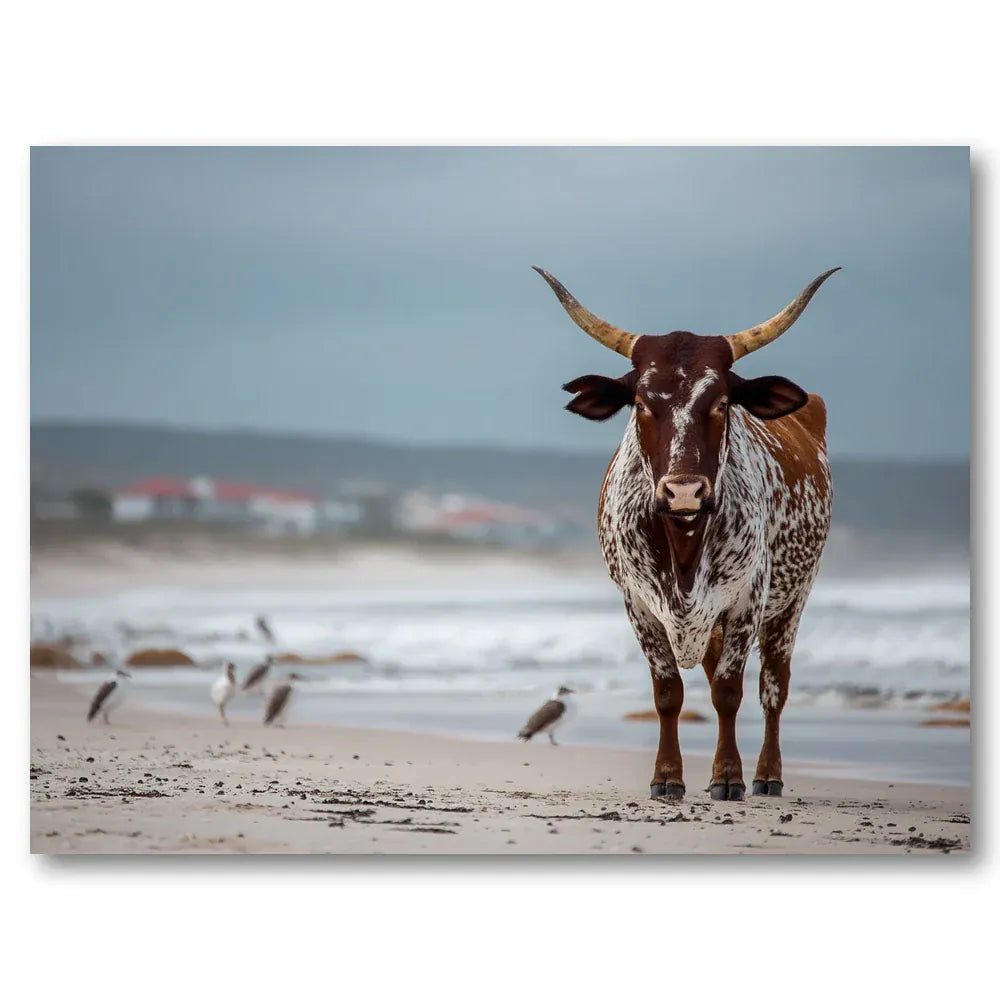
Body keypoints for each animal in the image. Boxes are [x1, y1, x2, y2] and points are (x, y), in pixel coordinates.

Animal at [534, 266, 838, 801]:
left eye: (722, 402)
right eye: (640, 402)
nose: (684, 491)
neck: (684, 544)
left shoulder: (747, 600)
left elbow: (729, 691)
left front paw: (728, 776)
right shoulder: (639, 605)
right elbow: (668, 693)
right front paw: (667, 777)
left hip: (793, 600)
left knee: (773, 688)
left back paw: (768, 774)